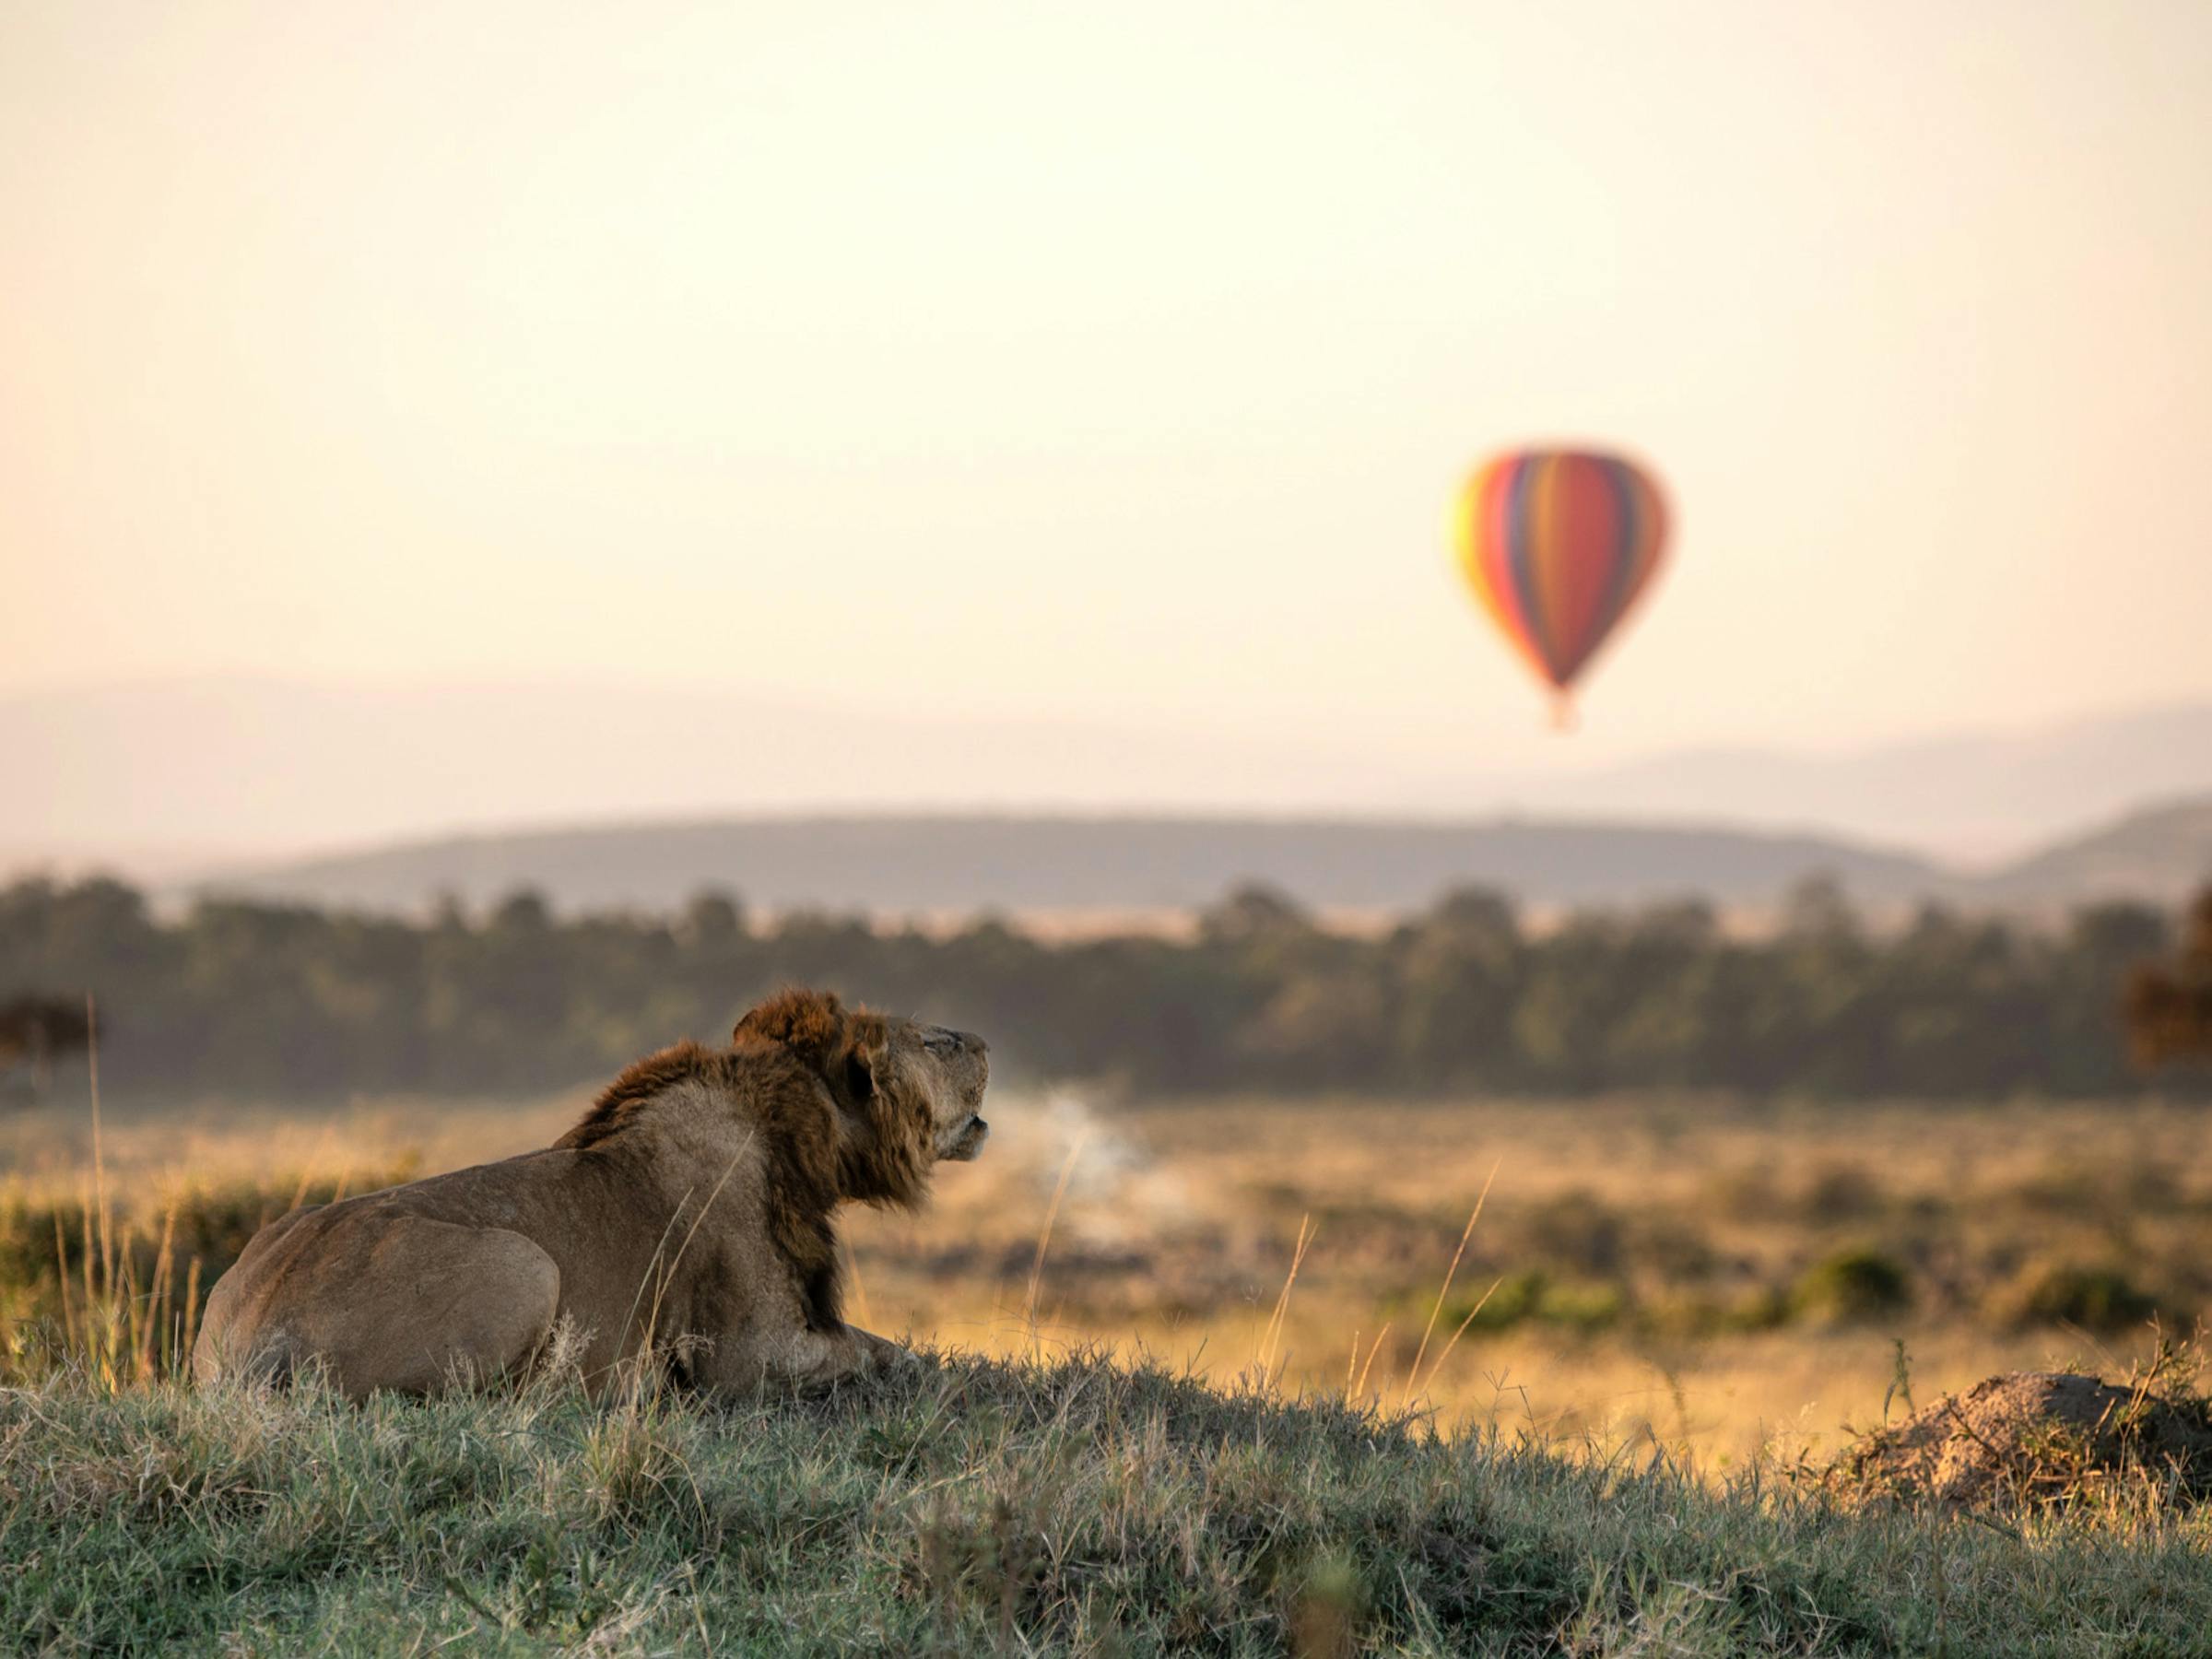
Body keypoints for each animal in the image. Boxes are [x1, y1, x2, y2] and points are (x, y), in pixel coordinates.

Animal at [192, 989, 990, 1398]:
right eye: (934, 1043)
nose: (984, 1041)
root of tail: (249, 1333)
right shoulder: (749, 1356)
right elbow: (887, 1353)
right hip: (526, 1265)